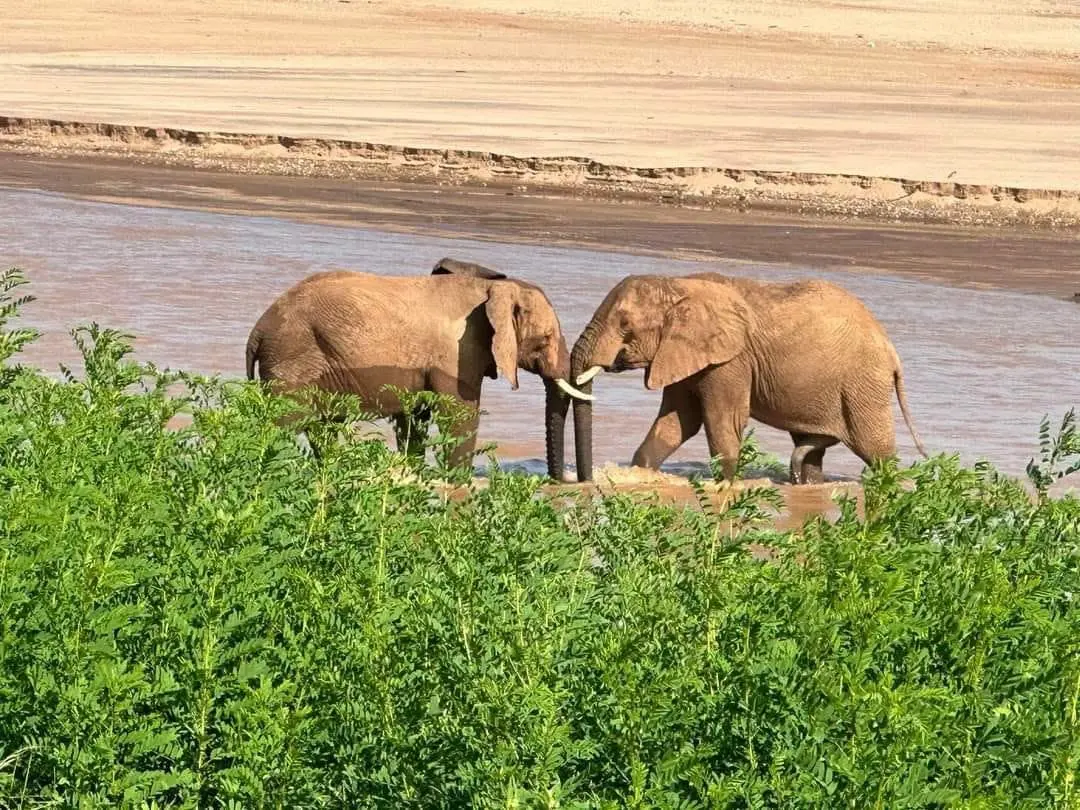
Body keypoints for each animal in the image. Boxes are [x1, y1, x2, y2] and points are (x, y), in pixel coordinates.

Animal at [245, 257, 592, 479]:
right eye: (546, 339)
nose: (557, 482)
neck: (492, 288)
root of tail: (258, 331)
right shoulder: (456, 353)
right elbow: (460, 416)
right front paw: (457, 486)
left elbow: (414, 420)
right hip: (293, 359)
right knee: (283, 425)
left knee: (323, 427)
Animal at [568, 272, 928, 484]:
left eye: (625, 325)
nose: (586, 482)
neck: (678, 284)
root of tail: (891, 349)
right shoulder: (685, 354)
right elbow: (677, 422)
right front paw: (638, 474)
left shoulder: (730, 360)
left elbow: (721, 420)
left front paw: (727, 486)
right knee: (811, 448)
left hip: (862, 384)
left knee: (876, 449)